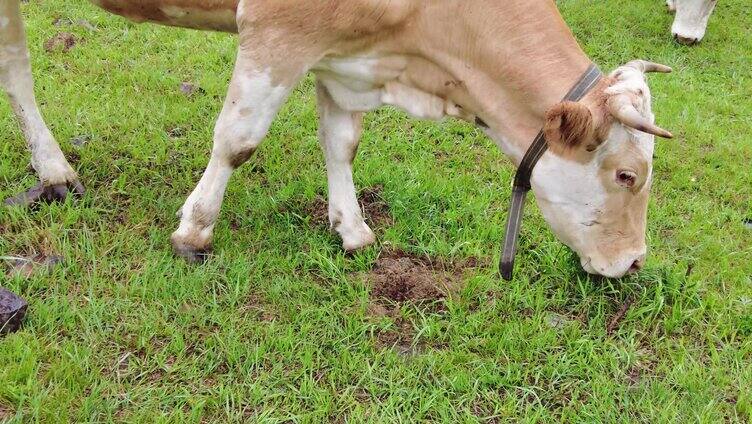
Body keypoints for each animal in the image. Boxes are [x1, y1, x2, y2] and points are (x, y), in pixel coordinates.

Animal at [2, 0, 676, 278]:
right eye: (626, 175)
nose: (635, 262)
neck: (416, 65)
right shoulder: (277, 29)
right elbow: (238, 139)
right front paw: (194, 230)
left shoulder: (345, 52)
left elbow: (341, 141)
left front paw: (351, 229)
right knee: (16, 64)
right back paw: (55, 170)